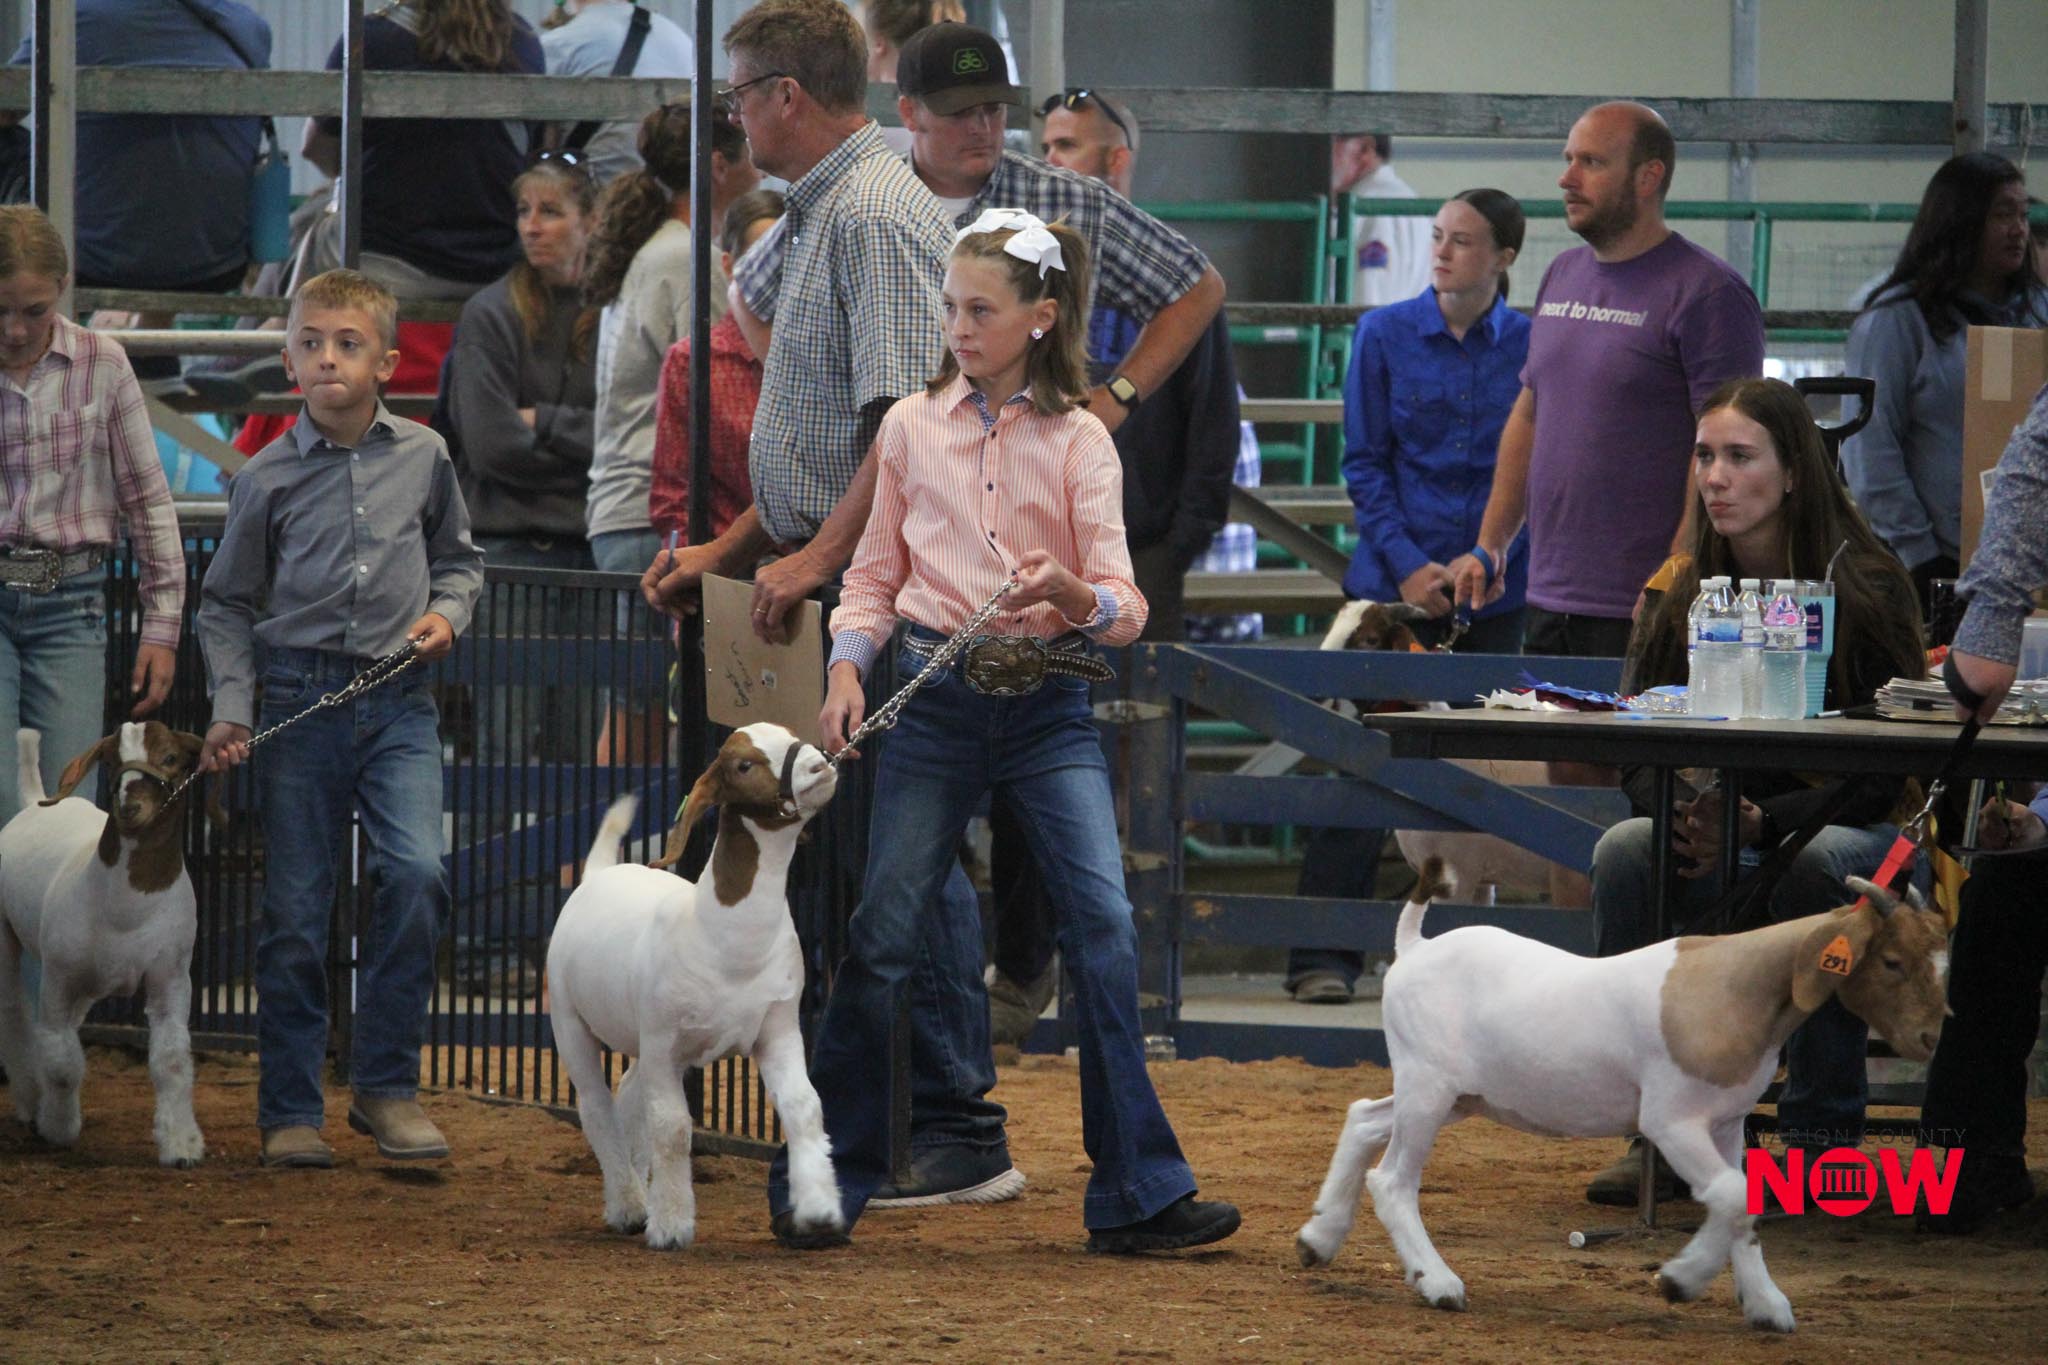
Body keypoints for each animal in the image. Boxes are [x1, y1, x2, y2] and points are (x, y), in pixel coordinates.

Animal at [0, 722, 217, 1167]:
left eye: (170, 757)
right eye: (112, 759)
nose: (129, 808)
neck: (125, 910)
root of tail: (33, 802)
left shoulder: (171, 977)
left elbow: (171, 1059)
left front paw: (181, 1145)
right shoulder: (59, 977)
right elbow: (62, 1061)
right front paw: (58, 1127)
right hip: (7, 934)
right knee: (15, 1012)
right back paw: (30, 1101)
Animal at [546, 723, 842, 1250]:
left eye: (790, 734)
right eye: (743, 765)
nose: (819, 764)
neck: (724, 938)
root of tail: (599, 874)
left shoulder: (778, 1029)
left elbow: (804, 1108)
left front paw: (819, 1210)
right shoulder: (664, 1041)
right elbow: (673, 1129)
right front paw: (671, 1225)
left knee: (628, 1095)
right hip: (569, 1017)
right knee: (597, 1106)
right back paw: (628, 1205)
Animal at [1294, 861, 1950, 1332]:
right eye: (1892, 961)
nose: (1931, 1037)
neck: (1733, 985)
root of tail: (1415, 946)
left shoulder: (1726, 1123)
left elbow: (1741, 1203)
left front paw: (1764, 1304)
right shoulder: (1672, 1121)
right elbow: (1731, 1196)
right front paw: (1681, 1280)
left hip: (1455, 1095)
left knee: (1363, 1117)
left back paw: (1318, 1239)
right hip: (1429, 1087)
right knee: (1393, 1179)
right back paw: (1437, 1282)